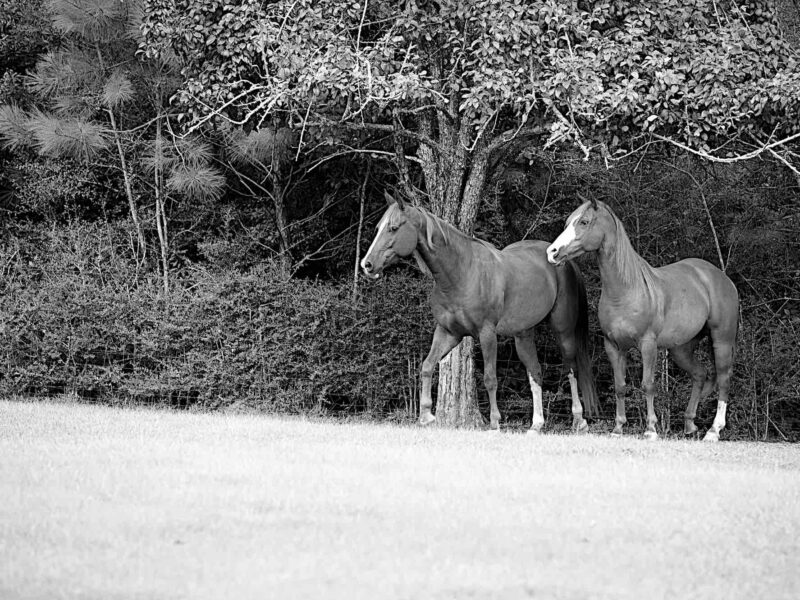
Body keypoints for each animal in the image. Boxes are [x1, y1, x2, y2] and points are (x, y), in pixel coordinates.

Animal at [360, 191, 599, 433]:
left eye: (393, 228)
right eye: (378, 227)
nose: (366, 265)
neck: (461, 274)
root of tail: (559, 258)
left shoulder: (487, 334)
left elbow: (490, 378)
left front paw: (494, 422)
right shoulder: (448, 332)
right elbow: (427, 366)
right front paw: (426, 415)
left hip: (563, 329)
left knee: (571, 368)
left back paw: (579, 420)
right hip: (523, 334)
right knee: (535, 371)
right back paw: (536, 425)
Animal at [546, 198, 739, 442]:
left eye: (584, 221)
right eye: (567, 222)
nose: (552, 252)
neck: (626, 290)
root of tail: (719, 277)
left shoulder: (648, 345)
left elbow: (648, 385)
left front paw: (650, 429)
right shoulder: (613, 347)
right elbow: (620, 386)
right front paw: (618, 428)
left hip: (722, 340)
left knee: (723, 379)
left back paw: (713, 431)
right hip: (682, 349)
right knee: (699, 374)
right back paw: (689, 425)